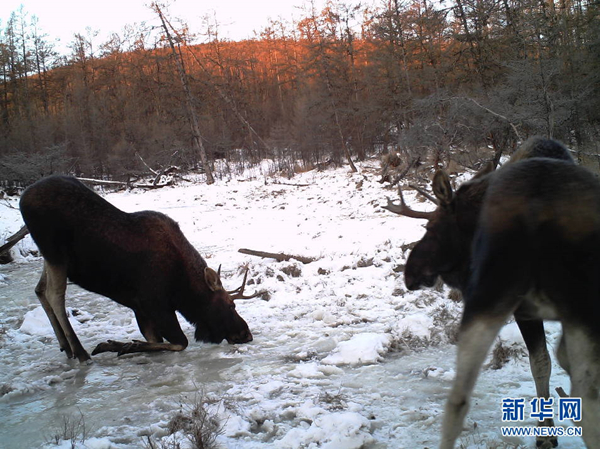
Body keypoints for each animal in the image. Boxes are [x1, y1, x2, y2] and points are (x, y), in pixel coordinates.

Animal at [18, 173, 258, 362]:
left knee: (40, 290)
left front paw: (122, 345)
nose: (246, 334)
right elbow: (180, 342)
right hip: (55, 253)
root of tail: (22, 199)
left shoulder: (140, 308)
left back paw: (66, 347)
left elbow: (157, 340)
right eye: (230, 305)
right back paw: (80, 351)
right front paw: (122, 345)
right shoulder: (153, 302)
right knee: (55, 294)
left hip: (51, 258)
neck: (182, 289)